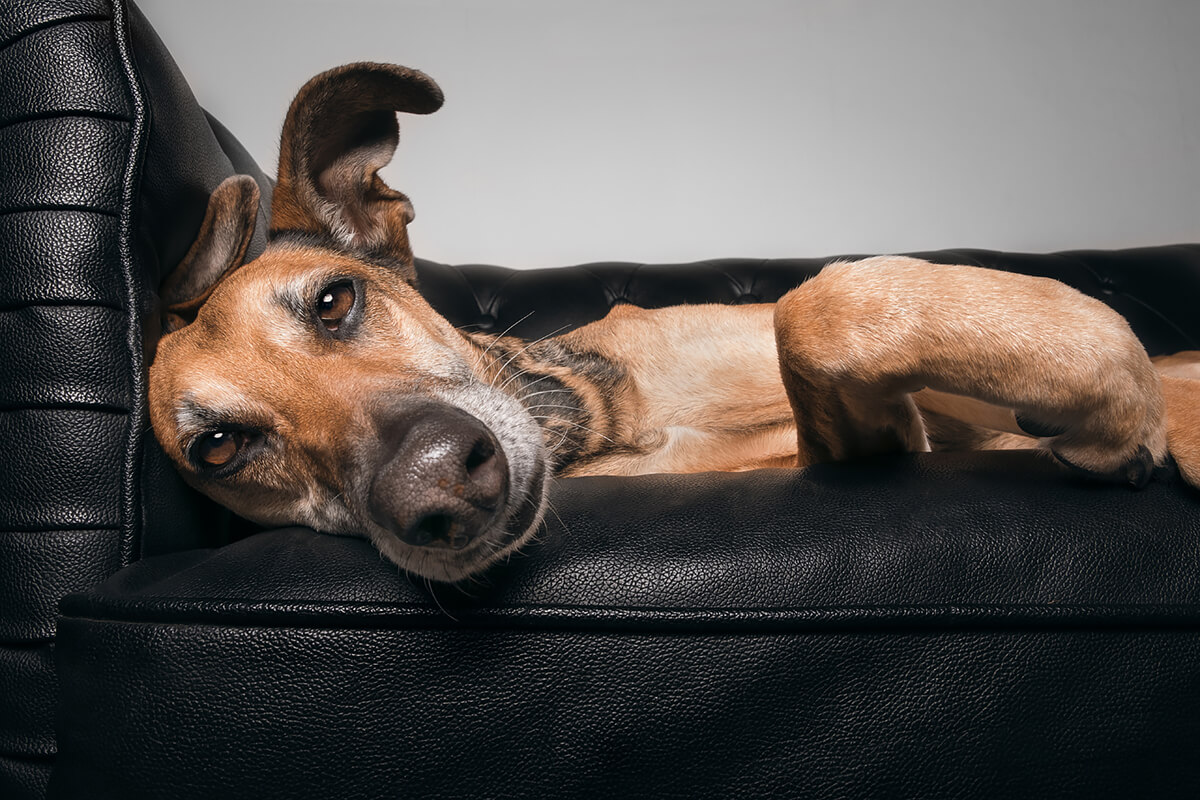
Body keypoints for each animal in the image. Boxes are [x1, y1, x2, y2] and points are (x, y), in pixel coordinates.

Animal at [147, 62, 1200, 582]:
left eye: (333, 301)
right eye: (218, 448)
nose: (435, 490)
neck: (605, 424)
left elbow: (822, 299)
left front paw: (1112, 391)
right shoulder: (873, 442)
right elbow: (824, 322)